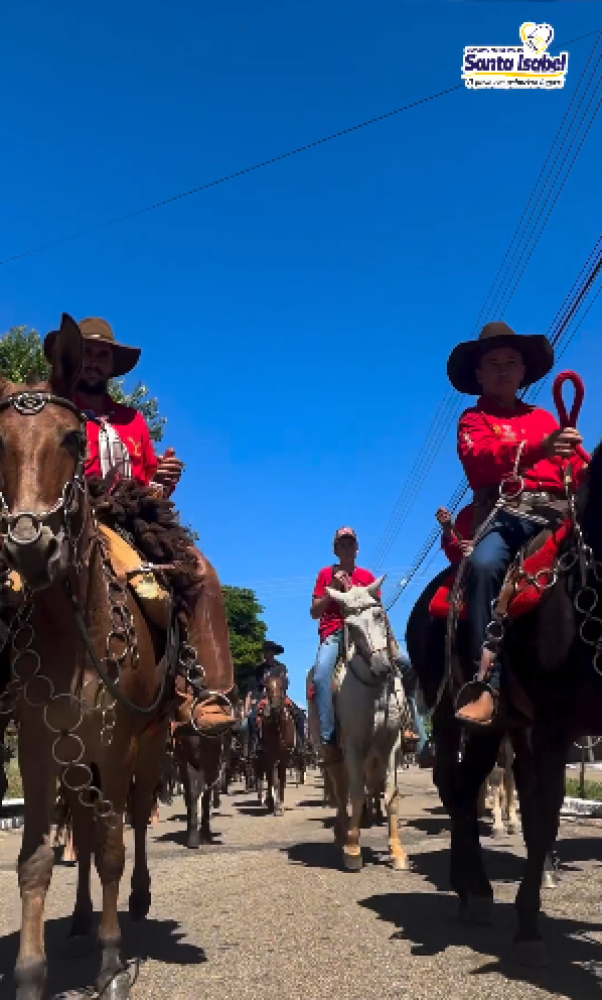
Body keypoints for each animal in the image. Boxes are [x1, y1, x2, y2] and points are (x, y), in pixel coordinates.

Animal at [0, 316, 171, 996]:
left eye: (73, 438)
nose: (30, 545)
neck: (74, 635)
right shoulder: (40, 744)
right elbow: (38, 857)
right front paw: (30, 972)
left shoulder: (117, 741)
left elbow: (113, 848)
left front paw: (111, 962)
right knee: (84, 825)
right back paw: (75, 920)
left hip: (146, 746)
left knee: (136, 822)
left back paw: (139, 900)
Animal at [255, 672, 296, 812]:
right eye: (267, 688)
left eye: (283, 687)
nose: (275, 709)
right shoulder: (270, 757)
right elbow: (273, 780)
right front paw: (275, 804)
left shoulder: (284, 757)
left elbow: (281, 779)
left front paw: (280, 803)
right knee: (267, 778)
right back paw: (268, 800)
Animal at [318, 576, 412, 872]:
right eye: (350, 626)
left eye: (379, 614)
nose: (383, 667)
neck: (374, 689)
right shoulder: (353, 744)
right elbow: (356, 793)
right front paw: (352, 849)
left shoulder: (392, 744)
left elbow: (391, 793)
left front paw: (397, 851)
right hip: (332, 751)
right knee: (341, 790)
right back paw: (342, 833)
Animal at [406, 442, 600, 964]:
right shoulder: (552, 727)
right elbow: (543, 812)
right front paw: (529, 923)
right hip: (450, 712)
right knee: (454, 786)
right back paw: (472, 889)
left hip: (494, 727)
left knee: (470, 782)